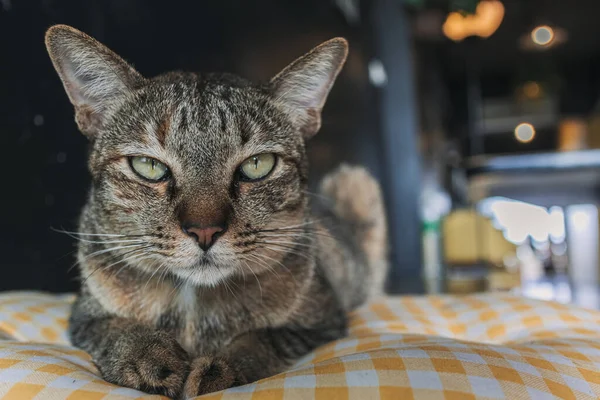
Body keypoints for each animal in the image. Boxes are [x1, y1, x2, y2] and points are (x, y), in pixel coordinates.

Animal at [44, 24, 386, 396]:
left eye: (258, 165)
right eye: (148, 166)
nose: (204, 230)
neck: (192, 303)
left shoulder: (323, 321)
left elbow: (263, 338)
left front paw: (221, 369)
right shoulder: (85, 314)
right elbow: (117, 329)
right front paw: (149, 356)